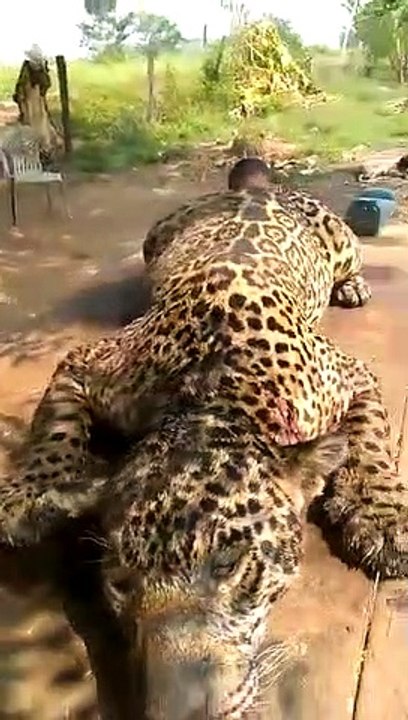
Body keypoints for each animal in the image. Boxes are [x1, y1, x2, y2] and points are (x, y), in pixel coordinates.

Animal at [0, 163, 407, 718]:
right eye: (118, 583)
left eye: (229, 564)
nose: (176, 711)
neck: (212, 396)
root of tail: (254, 187)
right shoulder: (90, 362)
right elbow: (55, 427)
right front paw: (32, 493)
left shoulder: (349, 374)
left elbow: (372, 443)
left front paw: (381, 516)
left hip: (343, 243)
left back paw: (354, 288)